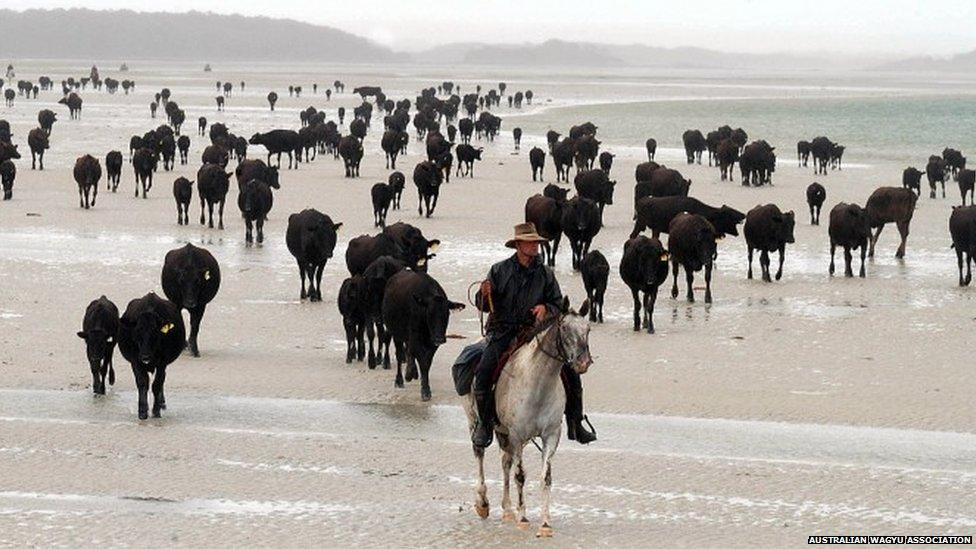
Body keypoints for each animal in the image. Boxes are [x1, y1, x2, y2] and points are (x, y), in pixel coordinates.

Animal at [382, 270, 464, 401]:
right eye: (429, 314)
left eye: (447, 314)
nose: (439, 338)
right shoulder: (416, 338)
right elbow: (421, 359)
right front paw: (425, 390)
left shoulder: (432, 343)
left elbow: (427, 361)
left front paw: (422, 383)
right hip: (396, 333)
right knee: (399, 354)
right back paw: (399, 380)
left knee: (409, 350)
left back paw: (411, 373)